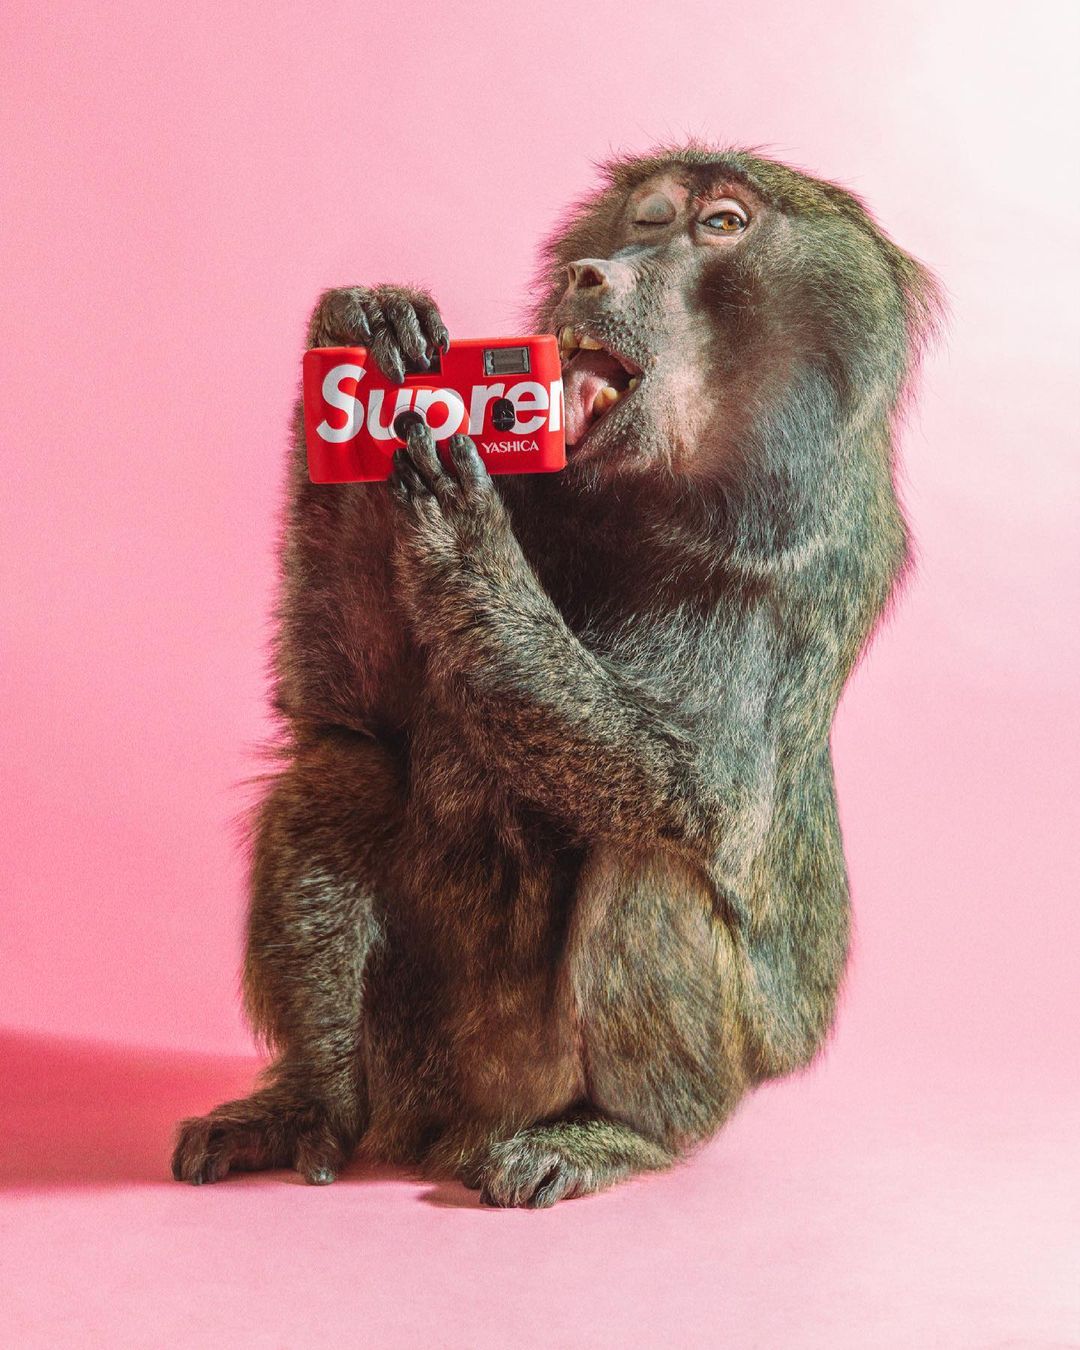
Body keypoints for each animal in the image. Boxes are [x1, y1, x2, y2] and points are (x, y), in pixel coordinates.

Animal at [171, 144, 940, 1207]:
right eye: (646, 219)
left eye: (722, 226)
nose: (593, 274)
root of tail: (443, 1126)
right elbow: (357, 713)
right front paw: (364, 332)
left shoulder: (792, 554)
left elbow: (693, 787)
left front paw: (457, 510)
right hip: (416, 1060)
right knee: (340, 770)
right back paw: (309, 1107)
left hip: (618, 1076)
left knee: (648, 860)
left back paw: (616, 1137)